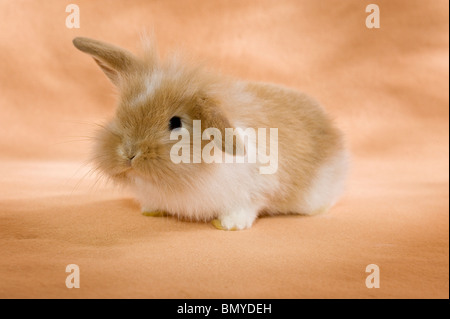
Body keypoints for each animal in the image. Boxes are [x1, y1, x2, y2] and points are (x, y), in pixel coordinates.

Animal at [73, 37, 348, 230]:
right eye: (119, 111)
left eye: (175, 123)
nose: (129, 153)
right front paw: (150, 210)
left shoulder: (253, 191)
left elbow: (246, 207)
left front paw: (229, 225)